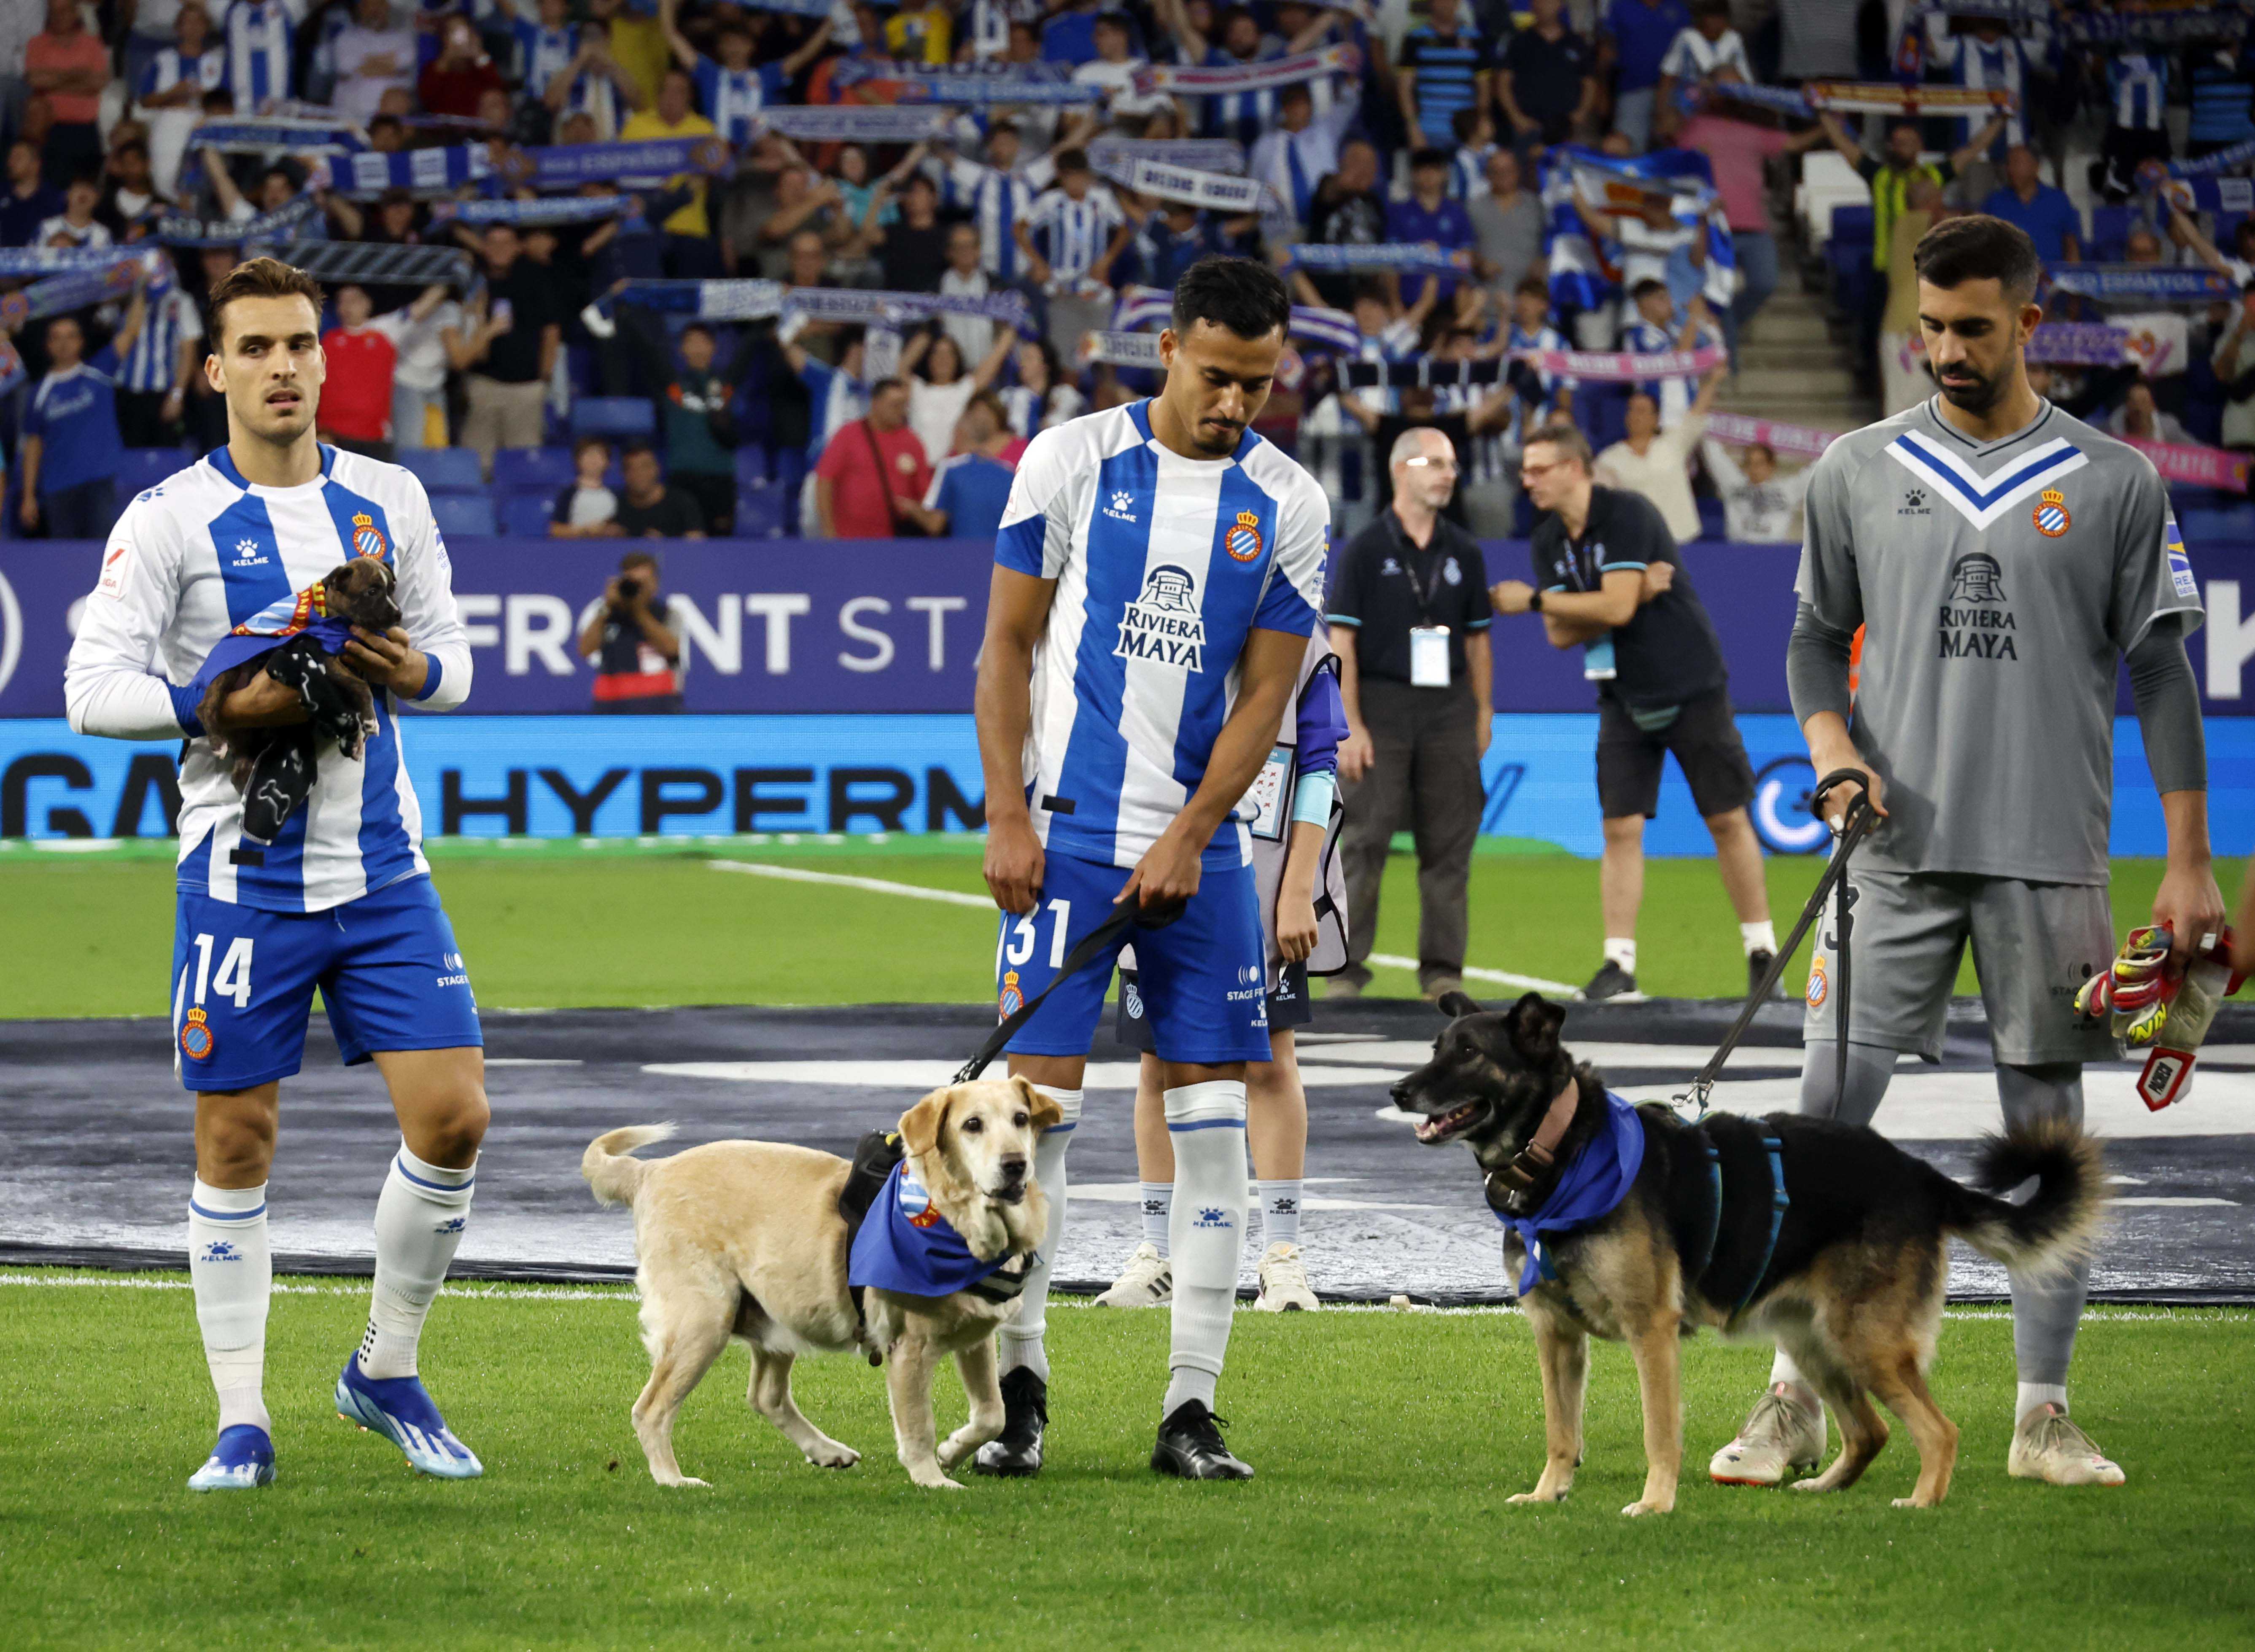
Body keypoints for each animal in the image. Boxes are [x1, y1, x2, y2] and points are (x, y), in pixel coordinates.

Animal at [590, 1077, 1064, 1487]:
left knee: (766, 1396)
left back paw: (826, 1451)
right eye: (972, 1125)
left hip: (776, 1315)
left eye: (1021, 1119)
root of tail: (649, 1171)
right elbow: (918, 1426)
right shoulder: (908, 1348)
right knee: (651, 1409)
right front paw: (932, 1479)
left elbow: (992, 1414)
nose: (1015, 1165)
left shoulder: (975, 1338)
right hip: (703, 1321)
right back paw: (673, 1479)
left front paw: (951, 1452)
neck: (959, 1226)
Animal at [1398, 987, 2101, 1514]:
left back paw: (1922, 1502)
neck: (1563, 1148)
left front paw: (1655, 1503)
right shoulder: (1555, 1336)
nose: (1398, 1092)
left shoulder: (1649, 1333)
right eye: (1435, 1048)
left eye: (1468, 1053)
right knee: (1870, 1430)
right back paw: (1825, 1487)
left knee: (1937, 1430)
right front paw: (1549, 1494)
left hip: (1863, 1341)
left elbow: (1659, 1431)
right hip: (1817, 1341)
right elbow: (1560, 1431)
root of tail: (1918, 1173)